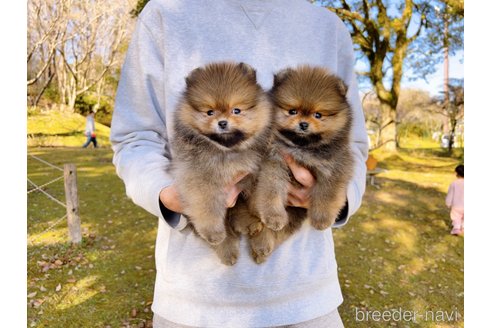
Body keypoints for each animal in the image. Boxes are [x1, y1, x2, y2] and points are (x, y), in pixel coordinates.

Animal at [169, 61, 272, 266]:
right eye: (210, 112)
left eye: (236, 110)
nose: (222, 123)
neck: (226, 152)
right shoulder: (197, 177)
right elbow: (206, 205)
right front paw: (214, 233)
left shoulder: (252, 175)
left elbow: (259, 201)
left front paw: (262, 234)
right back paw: (227, 248)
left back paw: (252, 226)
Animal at [250, 66, 354, 264]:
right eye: (292, 111)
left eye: (318, 115)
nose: (304, 124)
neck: (301, 147)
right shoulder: (274, 162)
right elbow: (271, 190)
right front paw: (273, 215)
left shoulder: (333, 166)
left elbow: (328, 194)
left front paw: (322, 218)